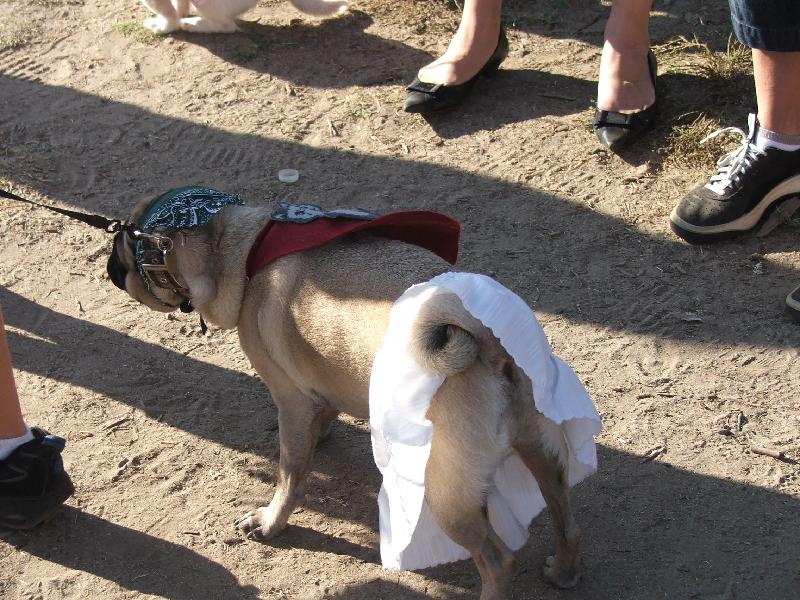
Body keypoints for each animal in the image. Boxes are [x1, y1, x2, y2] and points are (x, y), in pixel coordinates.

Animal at [107, 189, 589, 599]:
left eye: (125, 247)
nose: (110, 267)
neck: (242, 250)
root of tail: (488, 342)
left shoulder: (289, 400)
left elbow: (290, 474)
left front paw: (271, 522)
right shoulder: (315, 392)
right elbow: (323, 415)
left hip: (446, 493)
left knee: (497, 560)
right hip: (541, 449)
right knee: (564, 512)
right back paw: (564, 572)